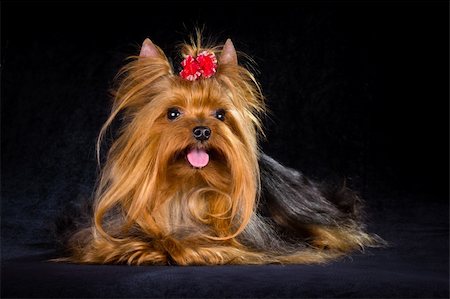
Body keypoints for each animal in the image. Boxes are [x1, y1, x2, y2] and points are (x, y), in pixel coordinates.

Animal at [59, 33, 380, 268]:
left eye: (220, 114)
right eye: (173, 113)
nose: (202, 130)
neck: (184, 186)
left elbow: (211, 245)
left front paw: (185, 246)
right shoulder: (98, 234)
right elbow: (105, 243)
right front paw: (141, 248)